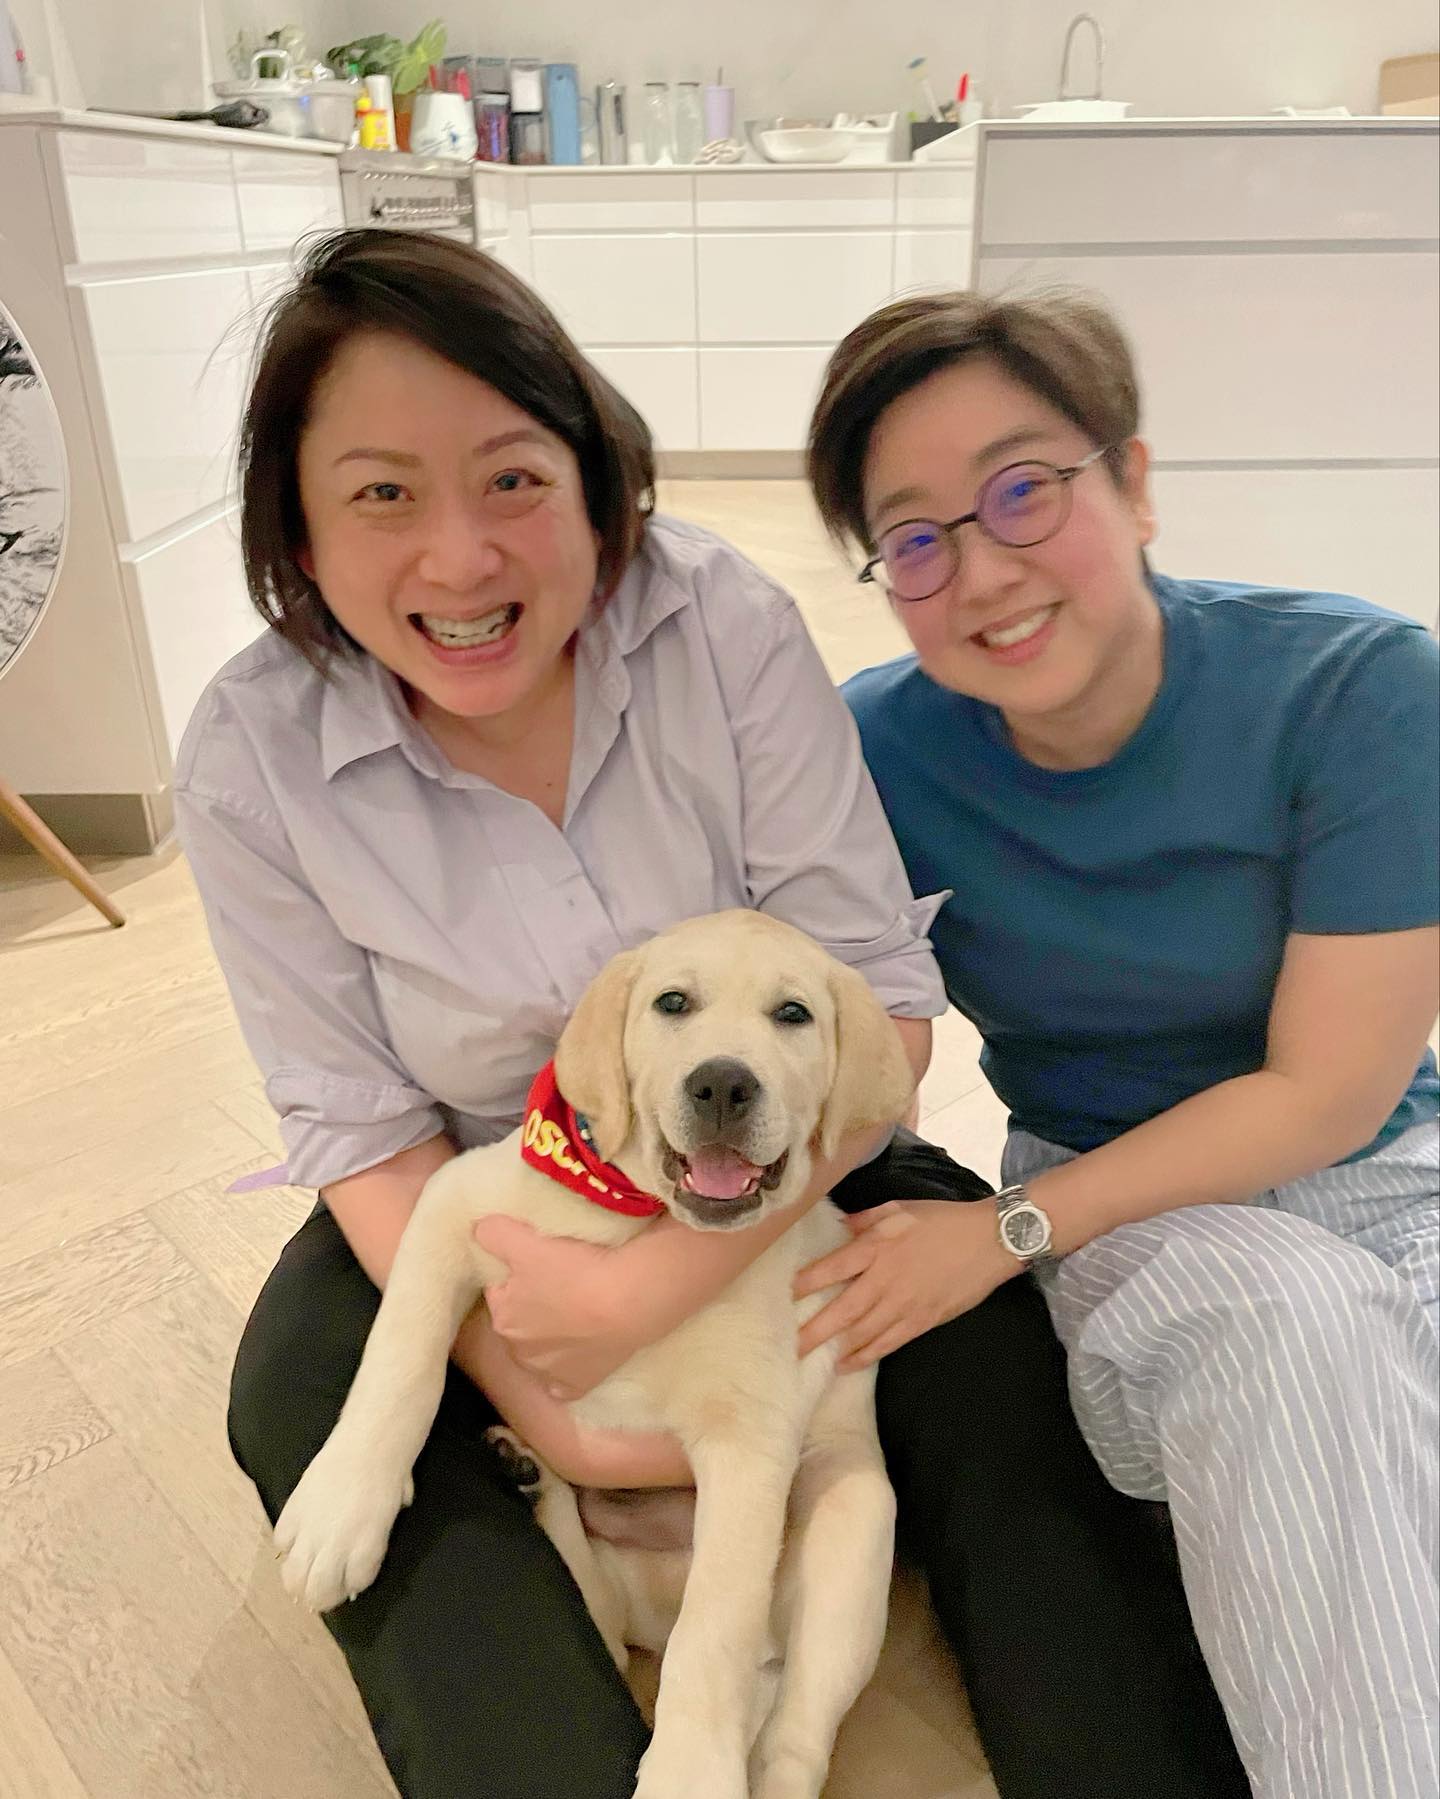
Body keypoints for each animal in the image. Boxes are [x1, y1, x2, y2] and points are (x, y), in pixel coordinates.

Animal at [273, 909, 916, 1799]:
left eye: (794, 1015)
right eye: (672, 1002)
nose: (722, 1084)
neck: (634, 1222)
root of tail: (654, 1601)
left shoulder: (750, 1441)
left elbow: (713, 1632)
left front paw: (688, 1773)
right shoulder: (454, 1203)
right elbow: (400, 1355)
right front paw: (341, 1506)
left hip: (852, 1519)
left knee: (788, 1732)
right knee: (605, 1630)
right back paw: (527, 1473)